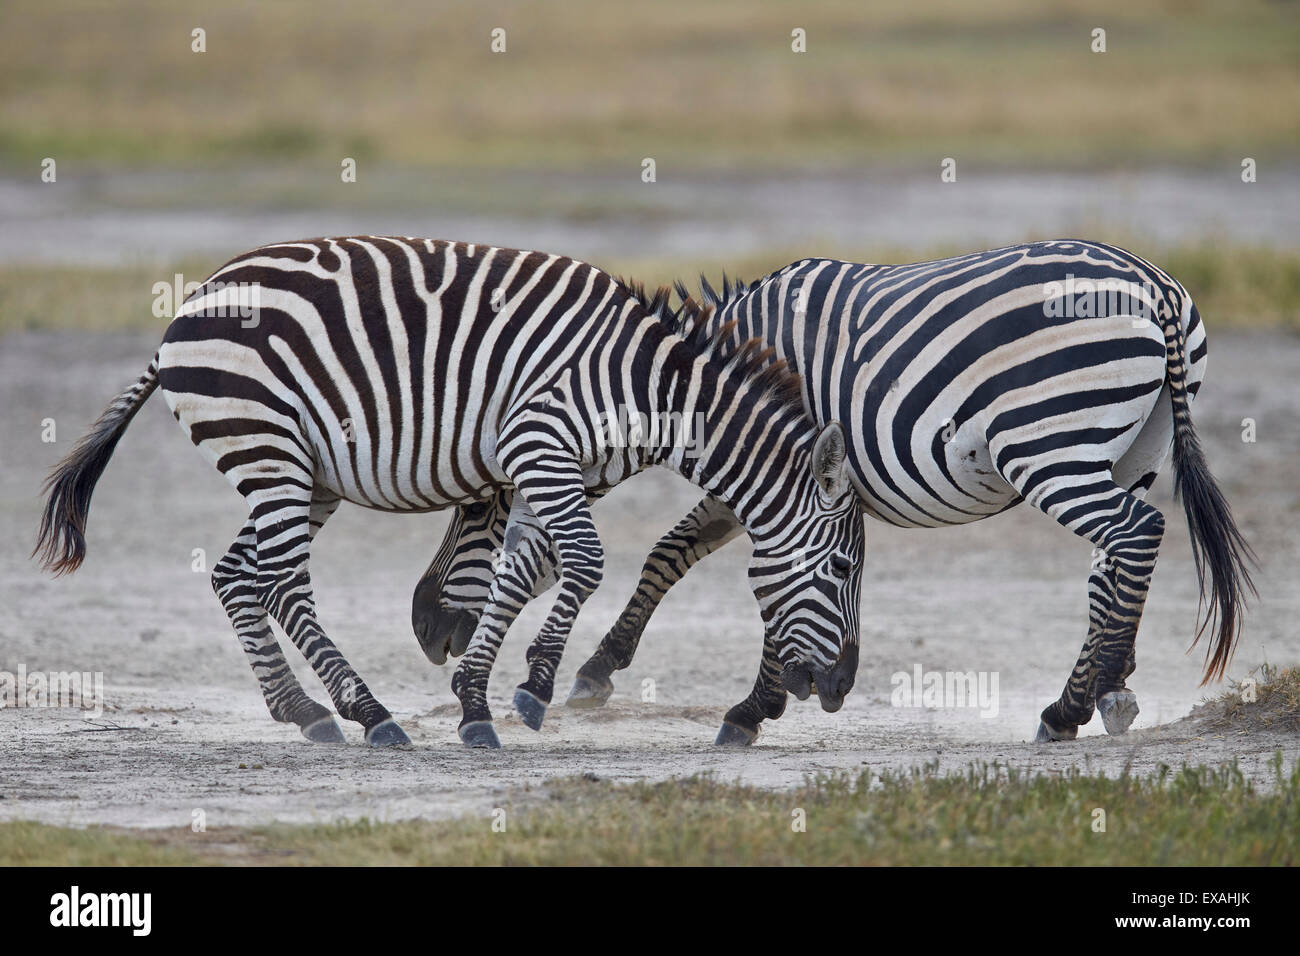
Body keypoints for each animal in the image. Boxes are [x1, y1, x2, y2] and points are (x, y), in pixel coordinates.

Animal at [32, 238, 863, 749]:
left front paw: (475, 702)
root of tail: (187, 307)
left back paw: (303, 710)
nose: (837, 689)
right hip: (267, 448)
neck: (642, 387)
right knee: (285, 584)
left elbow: (520, 571)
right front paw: (533, 687)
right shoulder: (541, 443)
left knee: (240, 576)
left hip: (300, 470)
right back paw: (369, 714)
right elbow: (584, 562)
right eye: (846, 572)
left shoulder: (544, 467)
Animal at [410, 240, 1253, 749]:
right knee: (1114, 562)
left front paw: (748, 706)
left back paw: (1079, 701)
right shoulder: (767, 479)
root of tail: (1156, 288)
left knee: (1134, 536)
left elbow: (745, 574)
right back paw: (1102, 691)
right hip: (1130, 450)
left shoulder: (773, 473)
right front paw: (606, 667)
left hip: (1051, 445)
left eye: (474, 505)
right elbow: (677, 552)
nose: (426, 630)